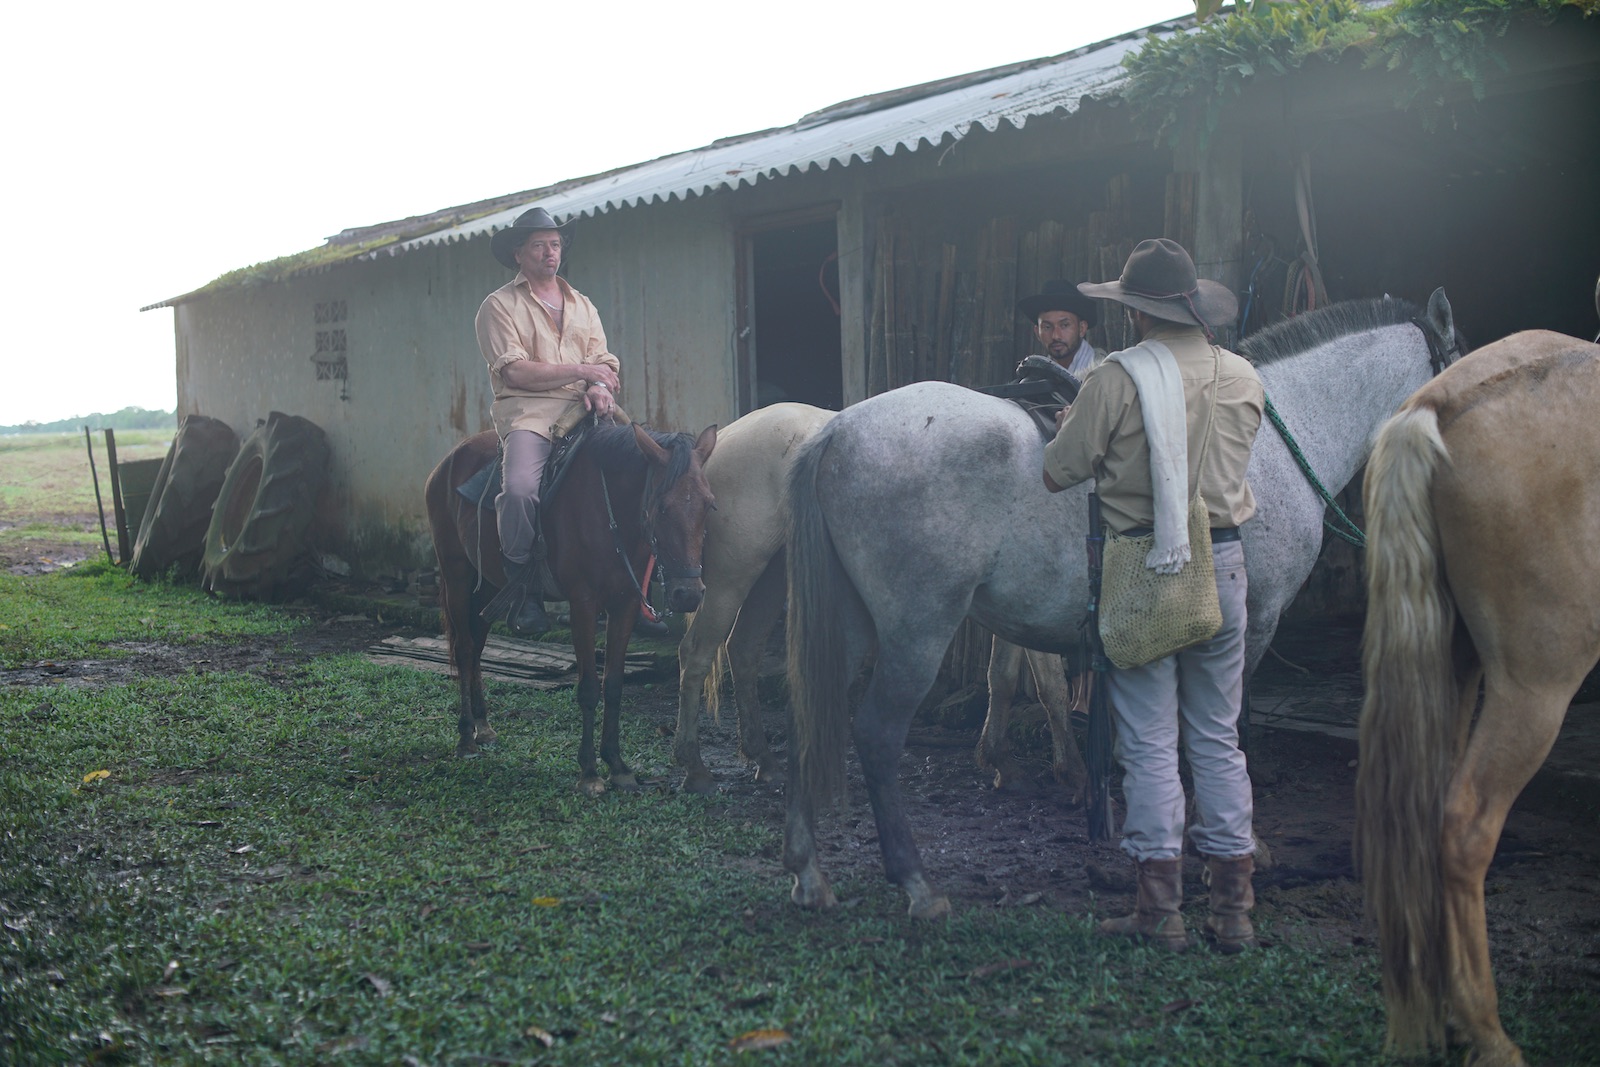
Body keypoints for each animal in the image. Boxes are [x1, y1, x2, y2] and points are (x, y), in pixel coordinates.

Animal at [428, 422, 723, 796]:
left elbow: (613, 684)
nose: (688, 594)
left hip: (488, 581)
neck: (609, 511)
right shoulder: (583, 603)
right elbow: (588, 688)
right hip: (456, 573)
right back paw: (466, 735)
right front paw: (590, 773)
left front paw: (617, 765)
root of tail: (447, 463)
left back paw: (483, 725)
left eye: (708, 505)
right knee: (466, 649)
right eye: (662, 507)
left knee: (478, 643)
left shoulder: (624, 605)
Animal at [780, 292, 1465, 921]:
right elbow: (1228, 729)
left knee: (811, 717)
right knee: (876, 734)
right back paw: (917, 886)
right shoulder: (1252, 621)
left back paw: (809, 874)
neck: (1270, 437)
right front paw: (1235, 847)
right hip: (916, 632)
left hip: (849, 626)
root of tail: (836, 432)